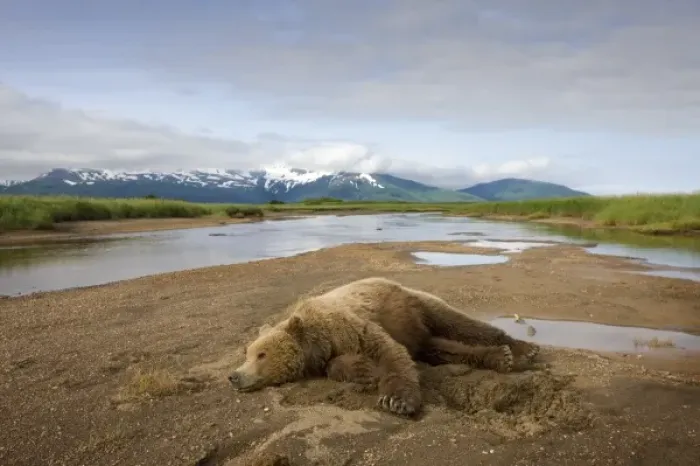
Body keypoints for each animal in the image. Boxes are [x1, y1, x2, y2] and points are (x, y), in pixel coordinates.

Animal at [228, 277, 539, 417]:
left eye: (262, 354)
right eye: (247, 353)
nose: (234, 376)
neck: (317, 341)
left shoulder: (350, 325)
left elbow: (389, 352)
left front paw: (396, 400)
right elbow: (338, 365)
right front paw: (362, 369)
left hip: (415, 304)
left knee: (460, 324)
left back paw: (521, 349)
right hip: (418, 334)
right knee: (442, 347)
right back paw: (499, 357)